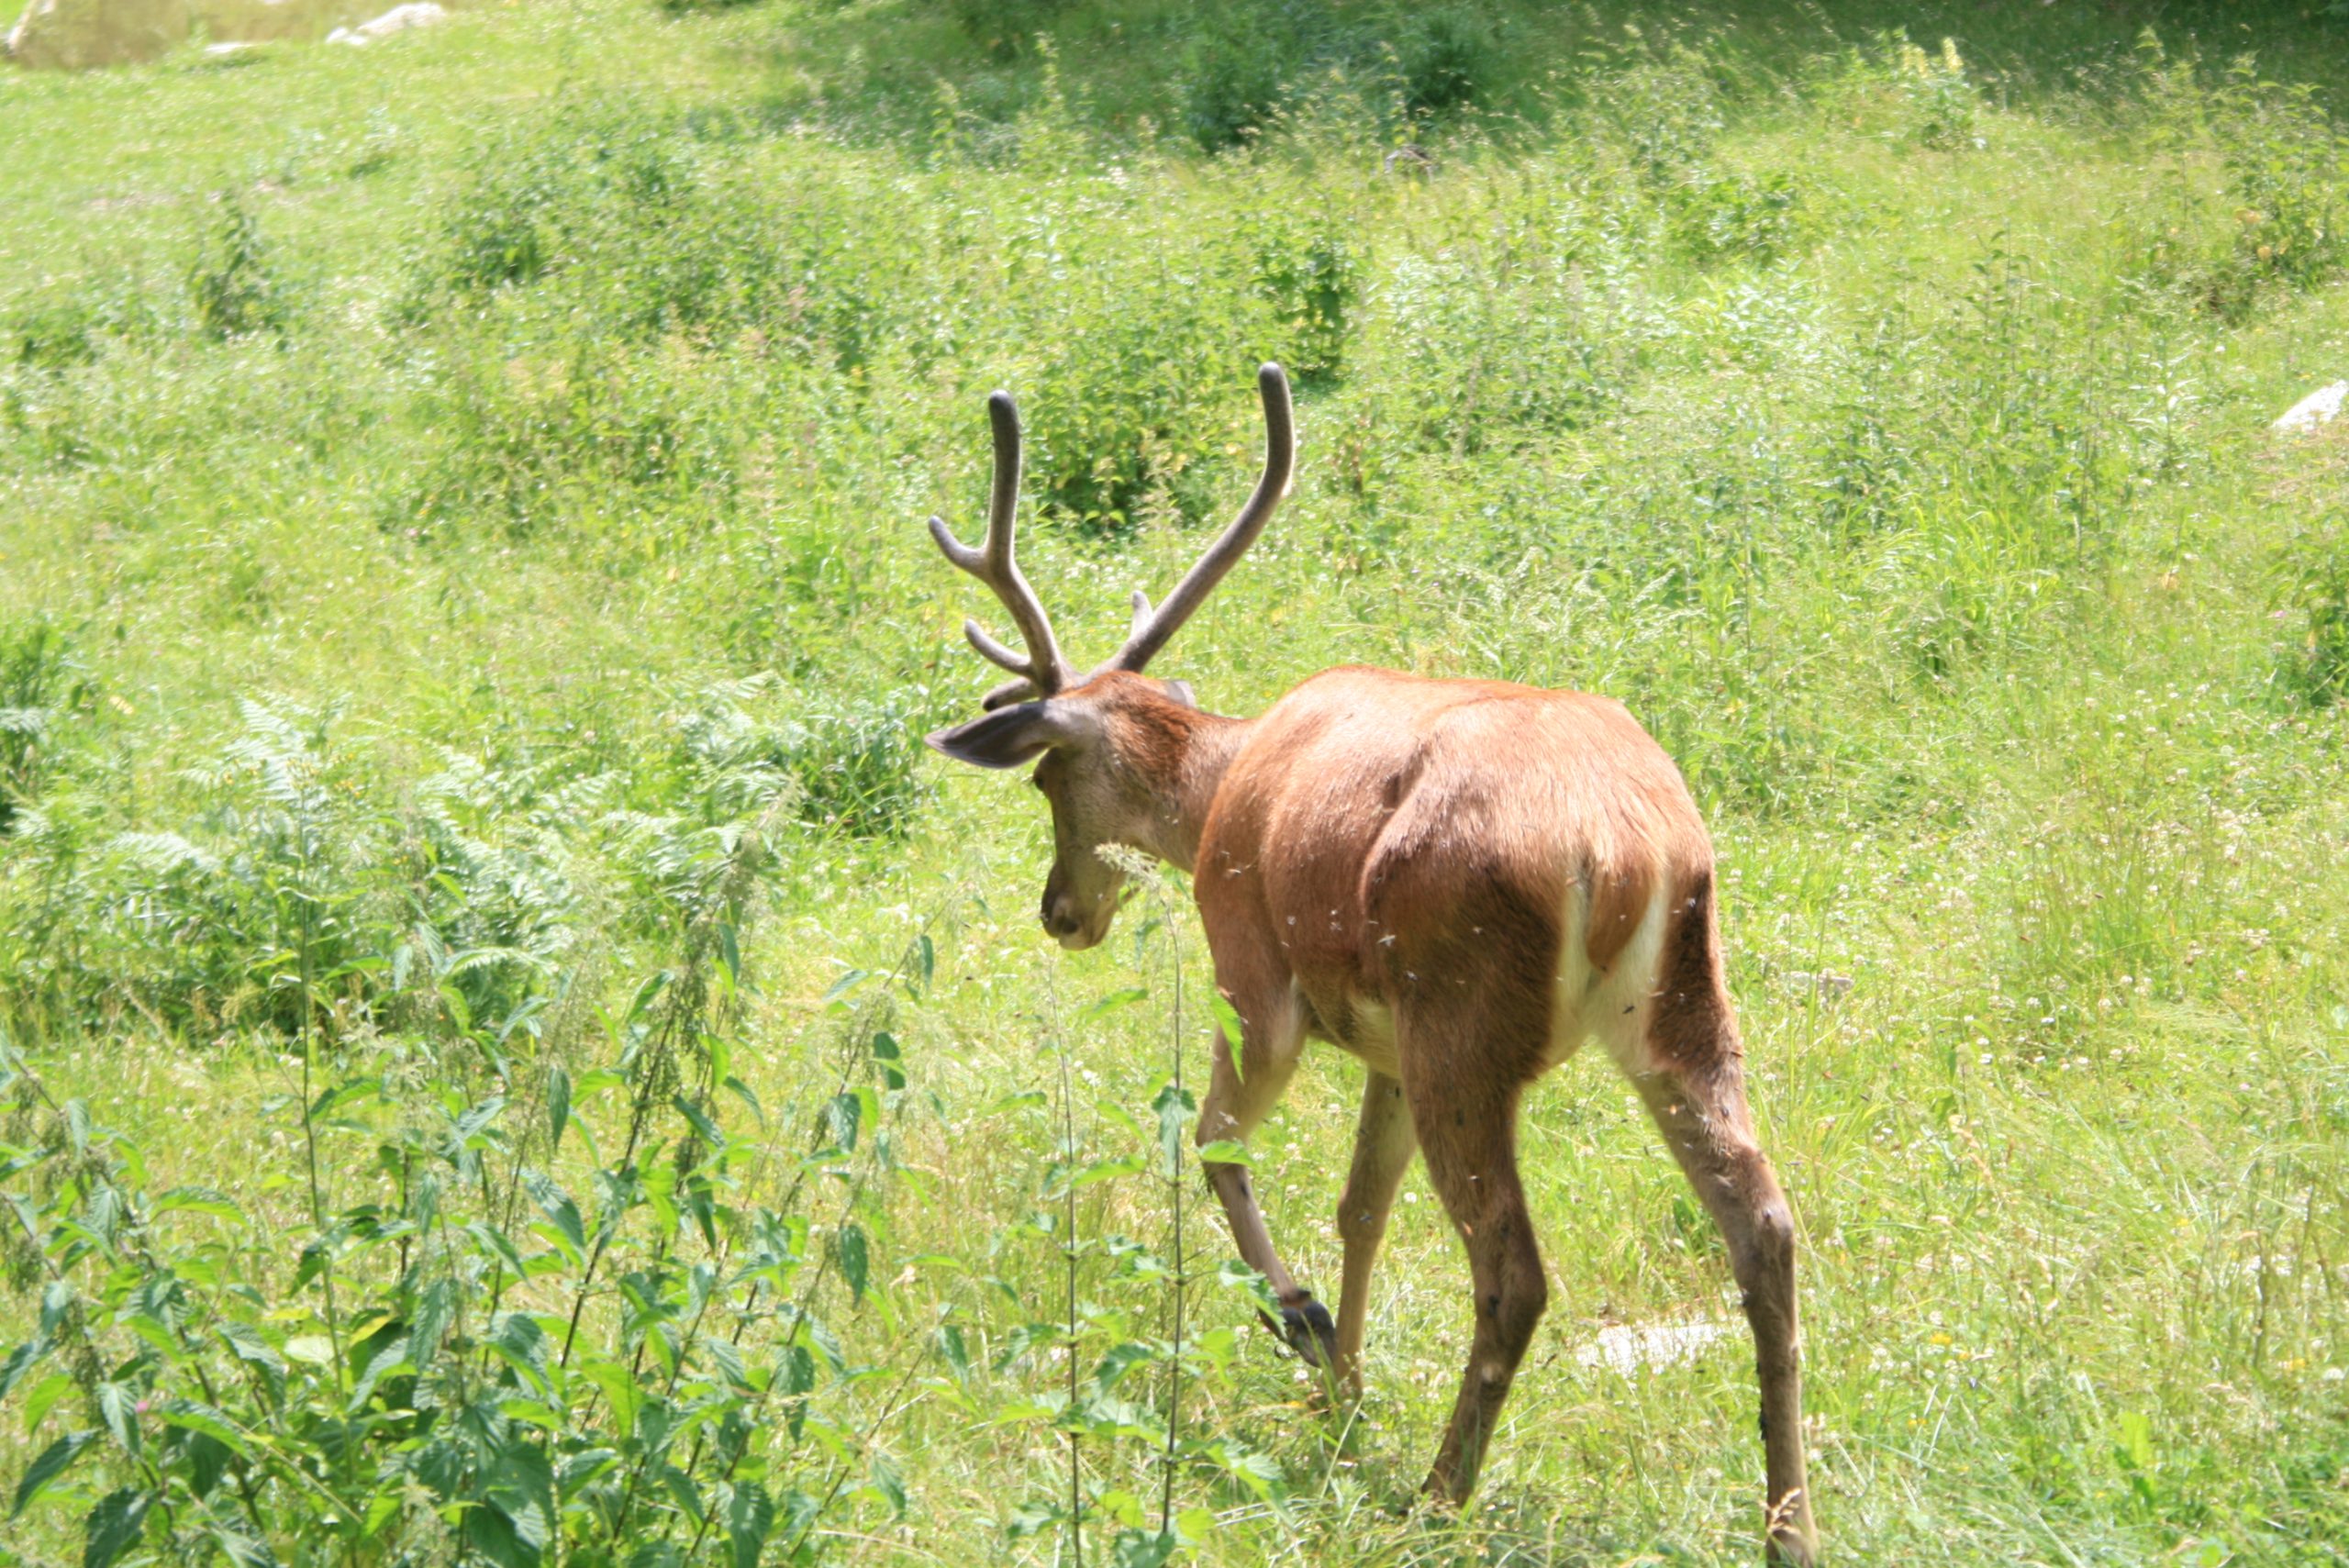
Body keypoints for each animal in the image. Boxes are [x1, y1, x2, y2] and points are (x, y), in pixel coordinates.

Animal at [920, 364, 1819, 1566]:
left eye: (1042, 781)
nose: (1060, 911)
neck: (1217, 785)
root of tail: (1623, 844)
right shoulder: (1382, 1048)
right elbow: (1360, 1206)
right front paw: (1342, 1389)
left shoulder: (1255, 970)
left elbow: (1209, 1137)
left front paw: (1300, 1326)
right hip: (1679, 1007)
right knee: (1763, 1227)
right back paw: (1788, 1521)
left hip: (1462, 1014)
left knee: (1512, 1268)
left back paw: (1439, 1494)